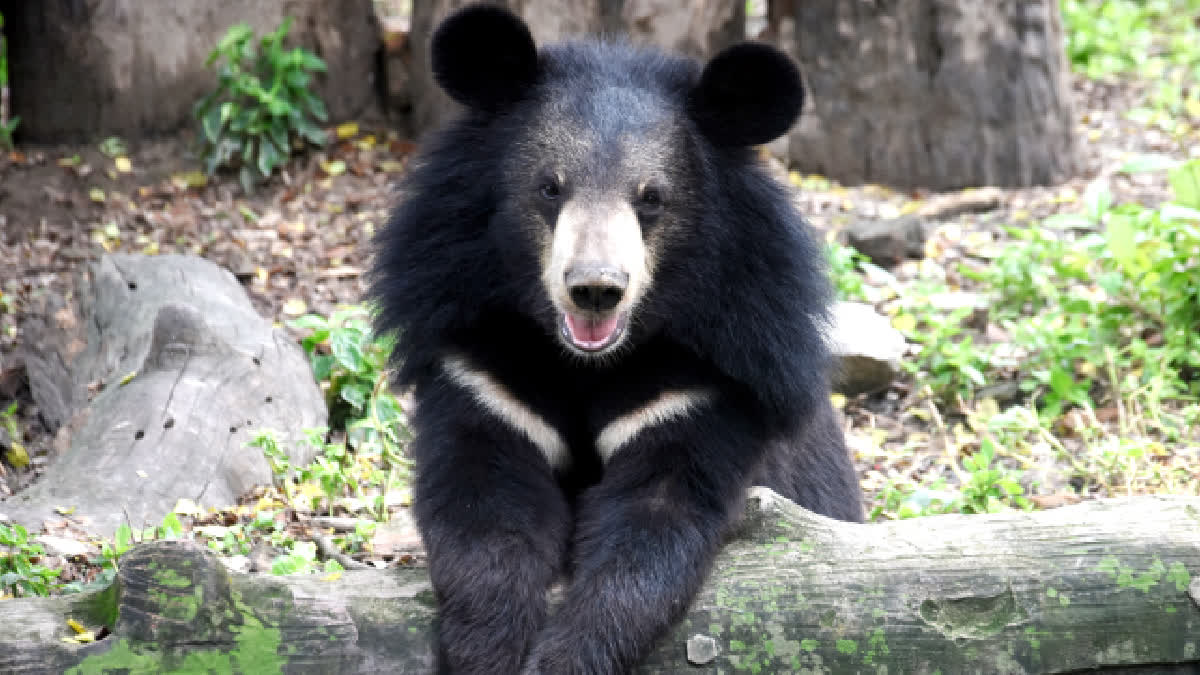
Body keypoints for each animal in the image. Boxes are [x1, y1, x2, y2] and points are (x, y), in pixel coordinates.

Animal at [372, 3, 864, 667]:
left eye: (651, 198)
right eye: (550, 187)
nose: (596, 289)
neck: (587, 362)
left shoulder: (702, 384)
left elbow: (651, 531)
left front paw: (564, 658)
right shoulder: (483, 370)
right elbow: (483, 509)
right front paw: (491, 650)